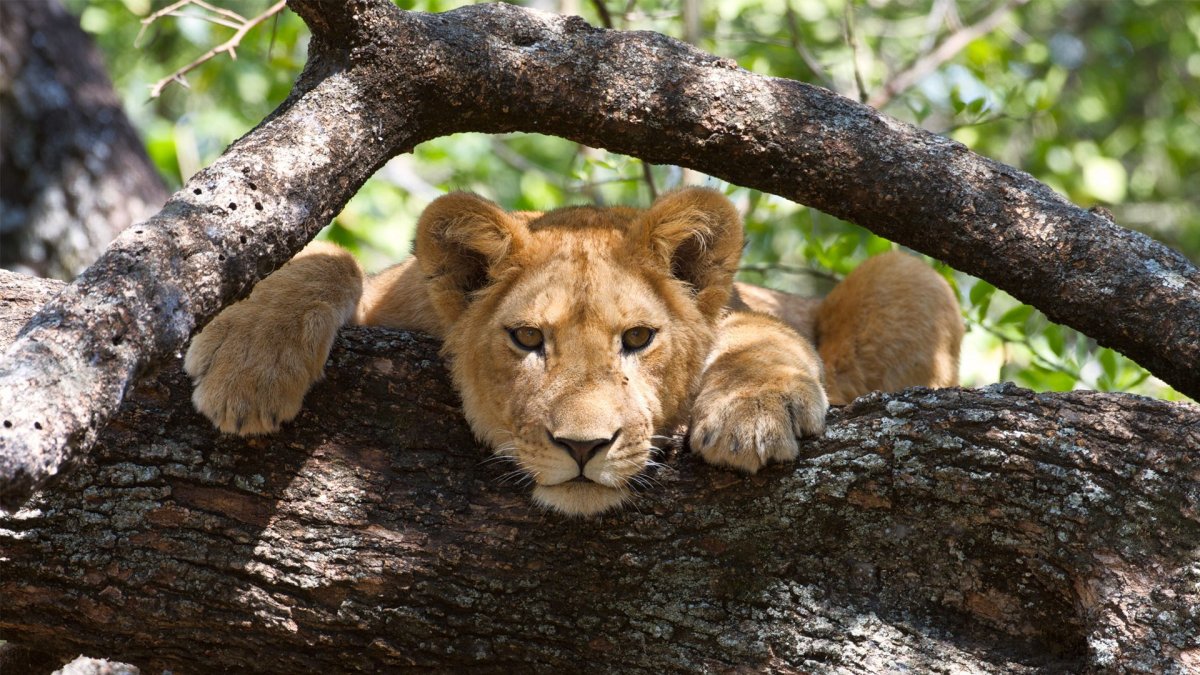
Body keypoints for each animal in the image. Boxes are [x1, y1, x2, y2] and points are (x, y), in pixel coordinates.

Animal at [185, 188, 963, 516]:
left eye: (639, 339)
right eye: (528, 338)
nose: (584, 447)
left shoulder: (747, 314)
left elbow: (761, 335)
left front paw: (752, 413)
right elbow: (329, 258)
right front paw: (247, 365)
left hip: (911, 276)